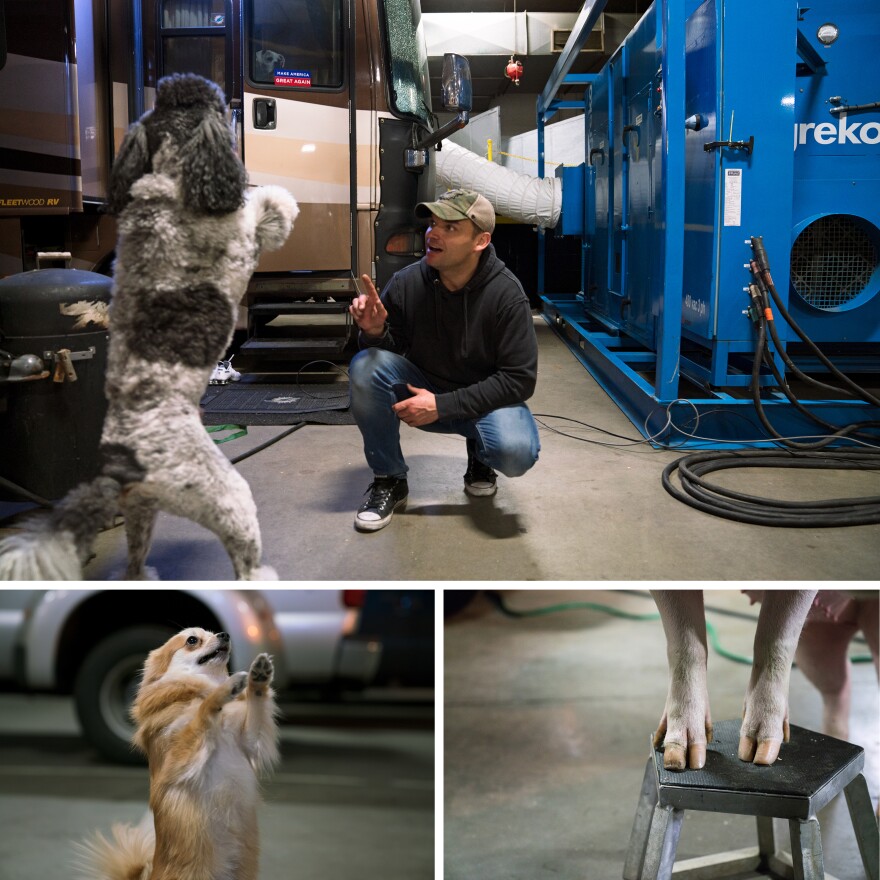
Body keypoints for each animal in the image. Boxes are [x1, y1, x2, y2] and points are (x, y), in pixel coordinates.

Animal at [0, 72, 300, 580]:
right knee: (245, 562)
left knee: (135, 562)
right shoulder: (243, 242)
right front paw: (277, 199)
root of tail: (126, 464)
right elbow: (265, 210)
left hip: (141, 511)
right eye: (218, 106)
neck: (167, 177)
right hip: (230, 498)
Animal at [78, 624, 280, 880]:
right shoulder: (179, 760)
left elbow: (255, 706)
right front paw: (223, 691)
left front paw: (259, 677)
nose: (224, 635)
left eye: (214, 633)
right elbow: (204, 711)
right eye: (192, 640)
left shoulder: (249, 740)